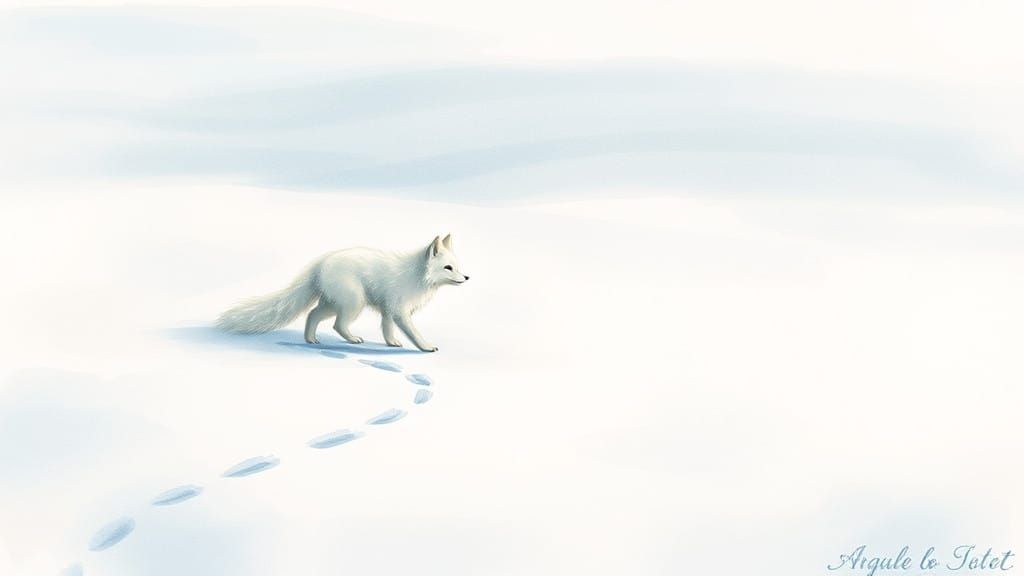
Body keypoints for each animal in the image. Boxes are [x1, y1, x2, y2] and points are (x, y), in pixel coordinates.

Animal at [217, 234, 469, 352]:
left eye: (457, 266)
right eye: (448, 268)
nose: (467, 278)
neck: (417, 276)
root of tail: (320, 263)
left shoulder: (388, 309)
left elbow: (387, 329)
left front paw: (392, 343)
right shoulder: (399, 311)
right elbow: (413, 332)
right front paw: (426, 347)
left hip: (332, 303)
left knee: (312, 314)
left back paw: (311, 339)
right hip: (353, 303)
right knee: (337, 324)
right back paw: (352, 339)